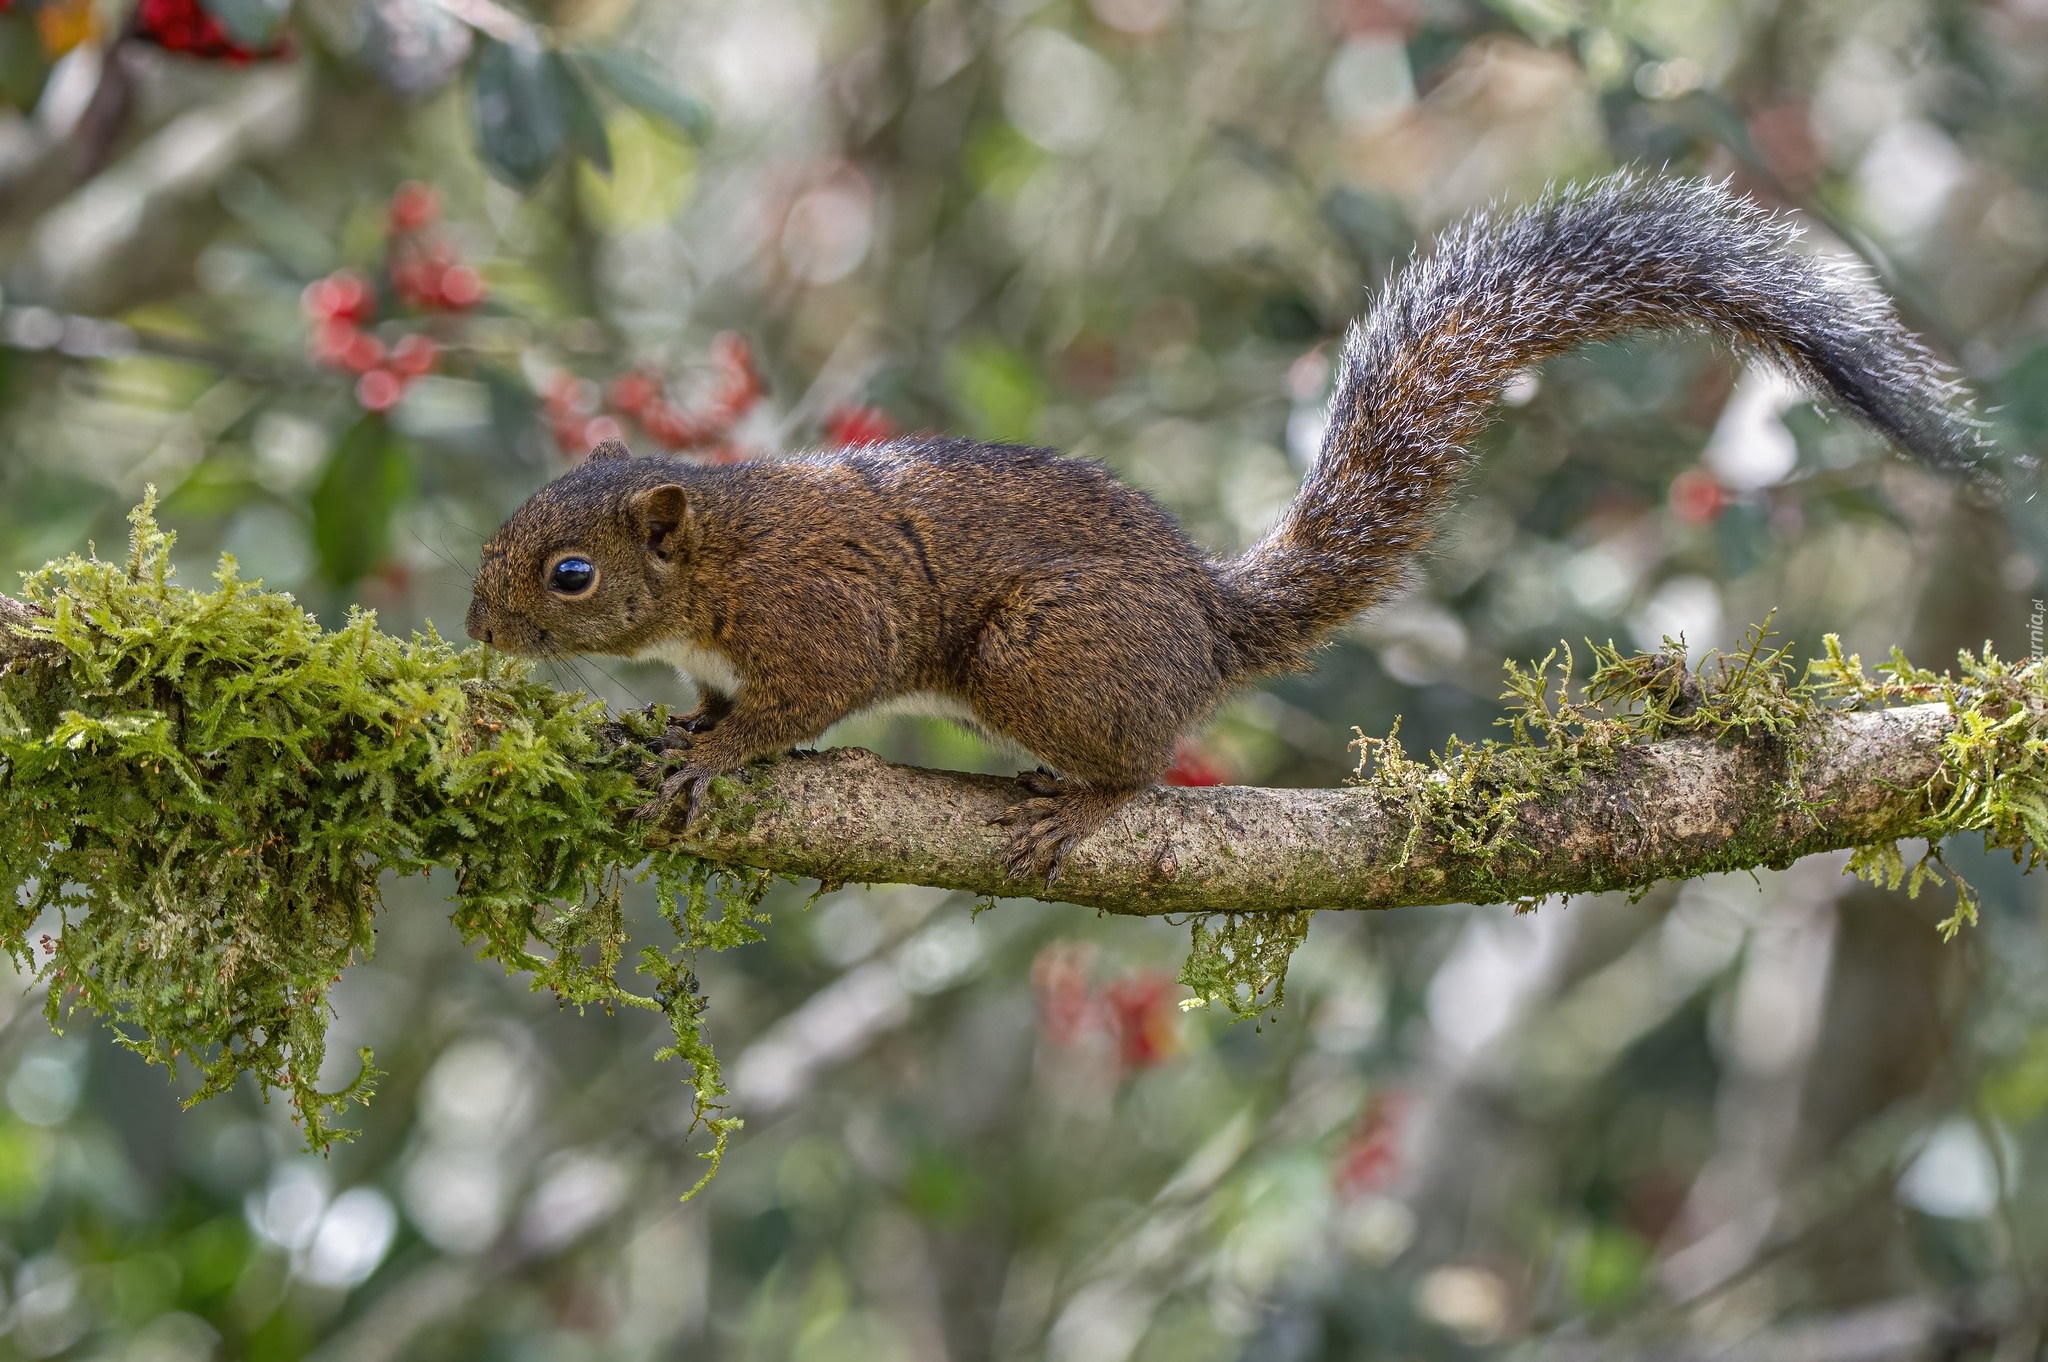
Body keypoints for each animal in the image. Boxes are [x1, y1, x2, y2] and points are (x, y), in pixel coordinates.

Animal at [468, 169, 1982, 880]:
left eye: (571, 572)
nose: (476, 629)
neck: (713, 559)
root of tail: (1207, 620)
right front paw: (667, 724)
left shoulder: (814, 614)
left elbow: (797, 703)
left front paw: (714, 755)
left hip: (1038, 654)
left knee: (1139, 764)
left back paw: (1084, 801)